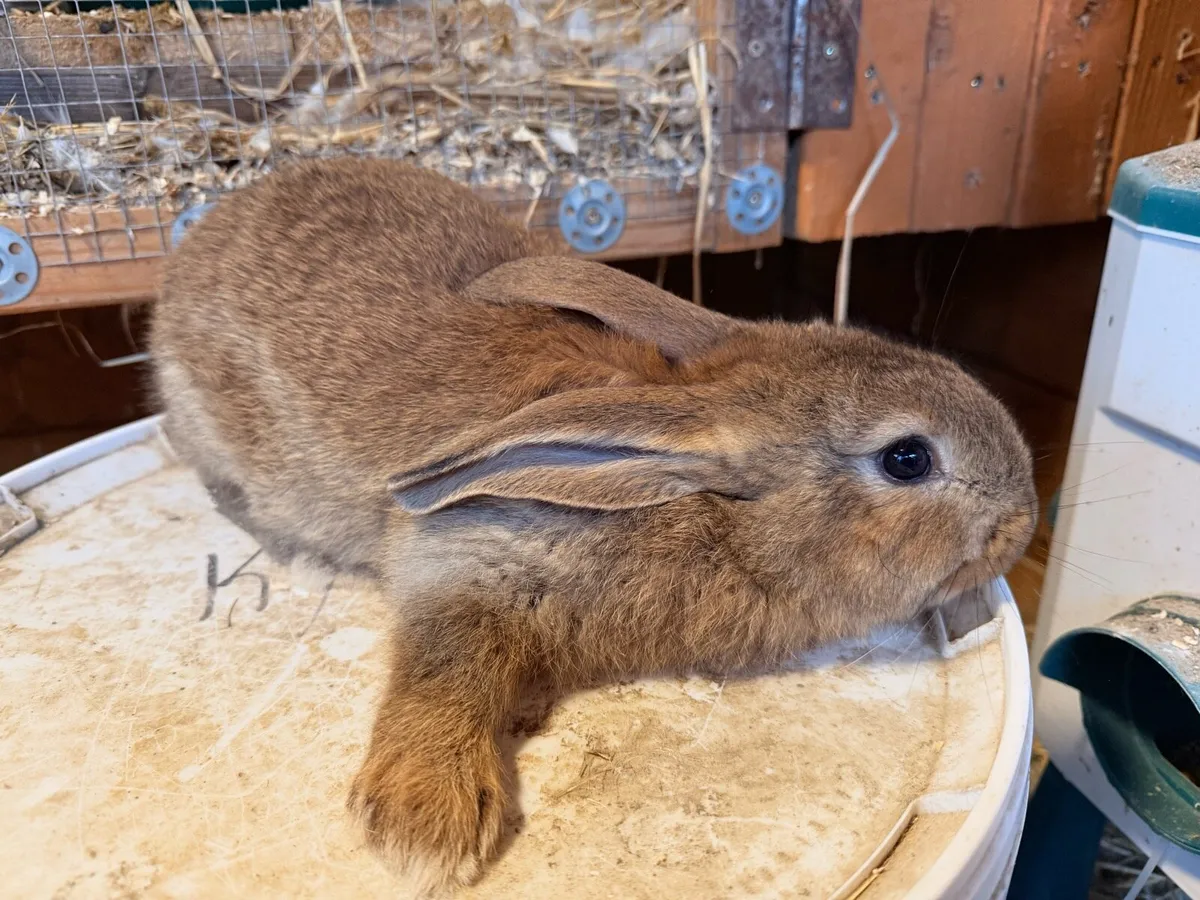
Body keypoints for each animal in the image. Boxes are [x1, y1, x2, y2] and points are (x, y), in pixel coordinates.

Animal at [150, 157, 1037, 895]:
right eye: (908, 459)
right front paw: (425, 824)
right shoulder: (470, 551)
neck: (695, 497)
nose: (1022, 519)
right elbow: (446, 662)